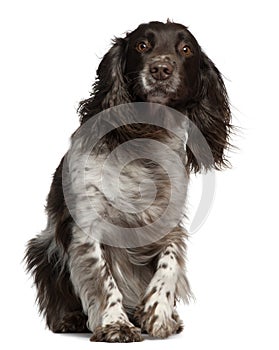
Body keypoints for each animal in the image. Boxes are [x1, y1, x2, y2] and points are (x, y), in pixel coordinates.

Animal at [25, 19, 232, 342]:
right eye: (142, 45)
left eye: (186, 49)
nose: (160, 69)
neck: (145, 137)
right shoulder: (89, 224)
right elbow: (103, 279)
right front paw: (115, 324)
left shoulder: (167, 223)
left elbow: (170, 262)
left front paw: (158, 314)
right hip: (41, 249)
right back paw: (70, 318)